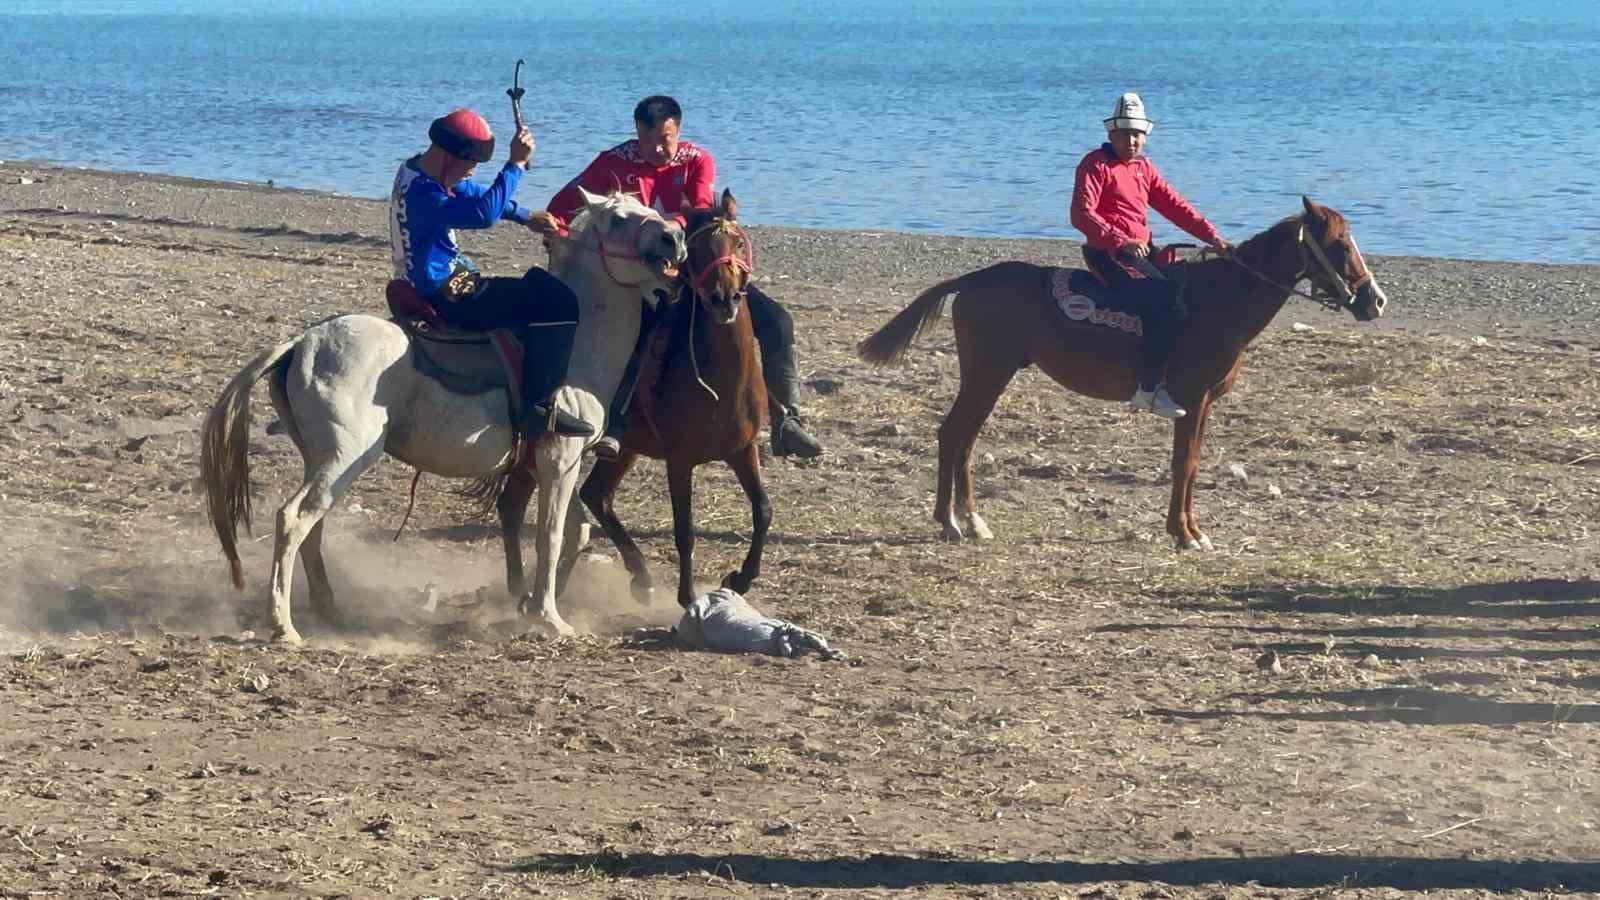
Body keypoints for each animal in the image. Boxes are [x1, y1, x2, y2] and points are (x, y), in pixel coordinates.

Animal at [203, 188, 684, 640]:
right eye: (619, 218)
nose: (675, 236)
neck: (578, 349)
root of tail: (302, 342)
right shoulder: (559, 459)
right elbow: (549, 535)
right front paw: (549, 616)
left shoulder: (552, 464)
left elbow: (575, 532)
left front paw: (529, 602)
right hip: (345, 457)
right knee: (293, 519)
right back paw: (283, 625)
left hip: (321, 462)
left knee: (313, 525)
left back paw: (328, 610)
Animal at [576, 188, 774, 602]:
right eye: (697, 251)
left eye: (737, 243)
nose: (725, 299)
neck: (722, 385)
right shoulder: (680, 462)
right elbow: (685, 529)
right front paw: (687, 597)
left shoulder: (743, 451)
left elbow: (763, 510)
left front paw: (741, 578)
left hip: (626, 449)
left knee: (596, 495)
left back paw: (640, 576)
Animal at [864, 196, 1388, 547]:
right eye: (1338, 244)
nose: (1375, 300)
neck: (1218, 301)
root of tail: (973, 280)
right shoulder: (1191, 398)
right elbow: (1184, 464)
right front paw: (1184, 534)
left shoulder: (1204, 404)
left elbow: (1192, 465)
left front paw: (1192, 530)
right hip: (986, 373)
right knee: (954, 434)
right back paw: (951, 521)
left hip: (992, 375)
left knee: (965, 438)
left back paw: (971, 520)